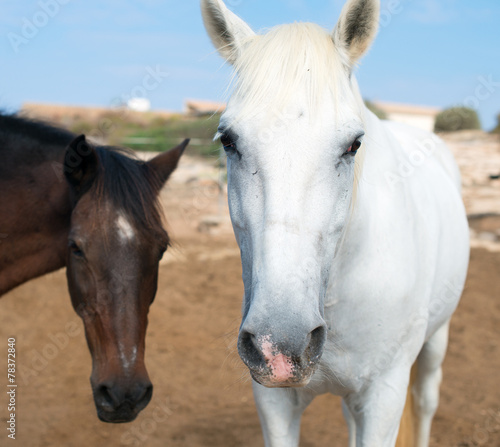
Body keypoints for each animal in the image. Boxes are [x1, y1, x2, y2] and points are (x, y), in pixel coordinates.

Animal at [201, 0, 470, 444]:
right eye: (228, 140)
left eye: (353, 145)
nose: (281, 344)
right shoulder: (274, 401)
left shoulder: (383, 395)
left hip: (437, 338)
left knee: (427, 402)